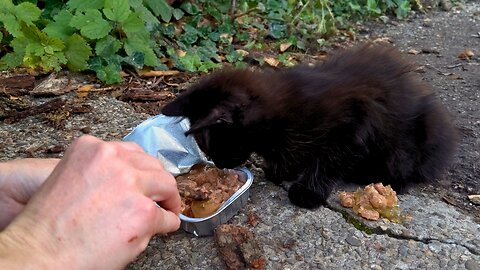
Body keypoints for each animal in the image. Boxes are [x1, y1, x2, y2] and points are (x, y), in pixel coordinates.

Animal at [163, 44, 460, 209]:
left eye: (217, 144)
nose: (220, 165)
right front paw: (281, 170)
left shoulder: (354, 125)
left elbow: (327, 161)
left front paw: (308, 191)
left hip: (411, 140)